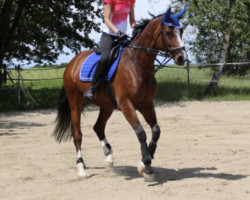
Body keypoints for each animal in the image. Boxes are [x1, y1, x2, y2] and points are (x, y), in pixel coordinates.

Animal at [52, 7, 187, 180]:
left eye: (181, 31)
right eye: (169, 32)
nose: (182, 57)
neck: (137, 65)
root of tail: (72, 63)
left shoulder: (146, 104)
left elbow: (156, 131)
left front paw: (144, 163)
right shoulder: (126, 105)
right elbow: (141, 133)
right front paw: (146, 166)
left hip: (107, 106)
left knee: (98, 127)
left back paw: (109, 157)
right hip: (75, 102)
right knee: (77, 135)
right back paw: (82, 168)